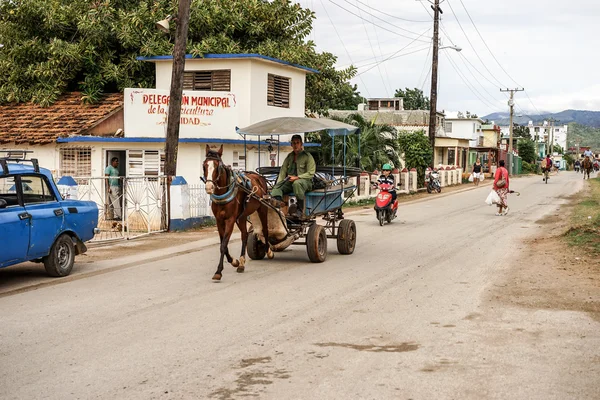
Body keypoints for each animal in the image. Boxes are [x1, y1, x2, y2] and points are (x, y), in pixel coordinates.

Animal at [204, 145, 274, 282]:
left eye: (217, 167)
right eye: (204, 165)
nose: (209, 187)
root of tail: (259, 177)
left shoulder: (230, 220)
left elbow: (224, 244)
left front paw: (218, 271)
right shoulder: (219, 220)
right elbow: (223, 244)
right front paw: (234, 261)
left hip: (262, 208)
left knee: (265, 229)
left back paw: (268, 251)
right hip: (242, 217)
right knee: (245, 235)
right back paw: (241, 263)